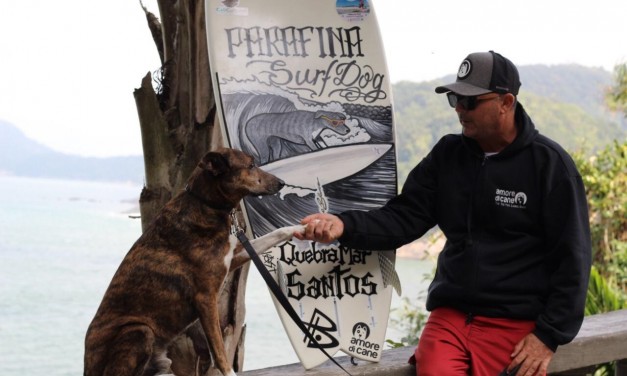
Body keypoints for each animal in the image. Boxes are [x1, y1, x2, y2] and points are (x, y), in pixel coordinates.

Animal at [84, 148, 306, 376]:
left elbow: (273, 234)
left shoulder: (233, 257)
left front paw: (302, 228)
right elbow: (219, 352)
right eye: (251, 165)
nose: (281, 182)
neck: (207, 204)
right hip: (138, 330)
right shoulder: (206, 298)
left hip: (160, 357)